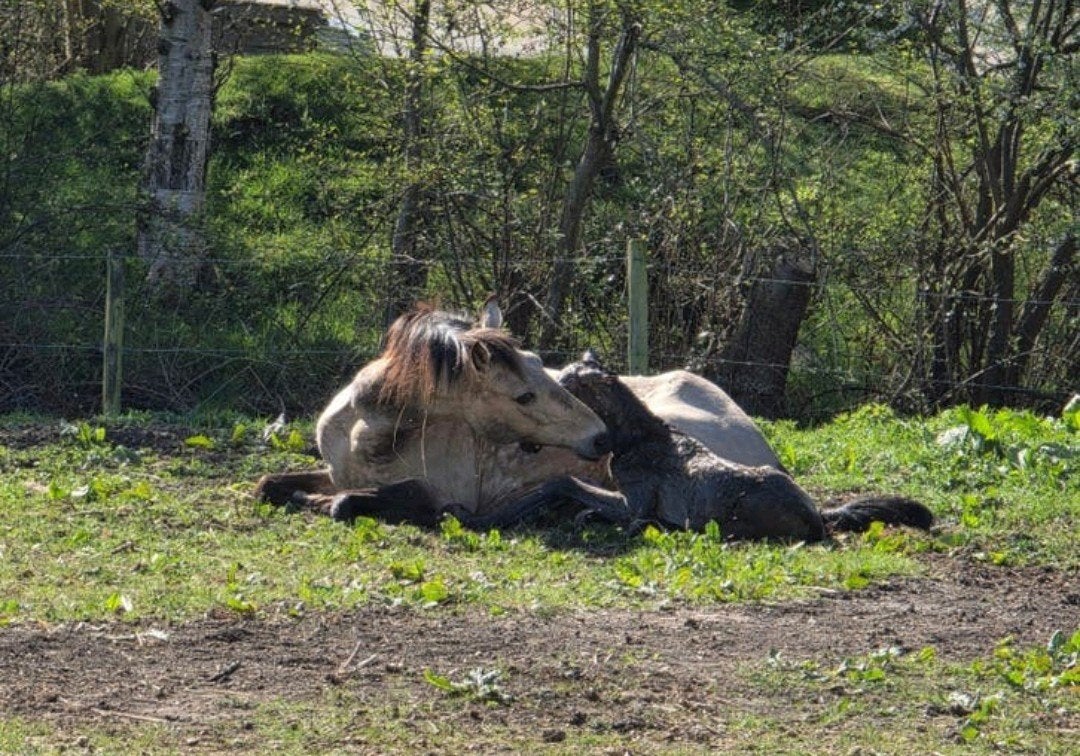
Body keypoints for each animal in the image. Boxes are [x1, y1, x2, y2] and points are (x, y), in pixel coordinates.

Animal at [254, 301, 622, 524]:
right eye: (524, 396)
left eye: (540, 363)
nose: (600, 437)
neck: (363, 437)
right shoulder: (335, 474)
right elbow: (266, 483)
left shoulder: (437, 494)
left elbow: (345, 502)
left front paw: (316, 500)